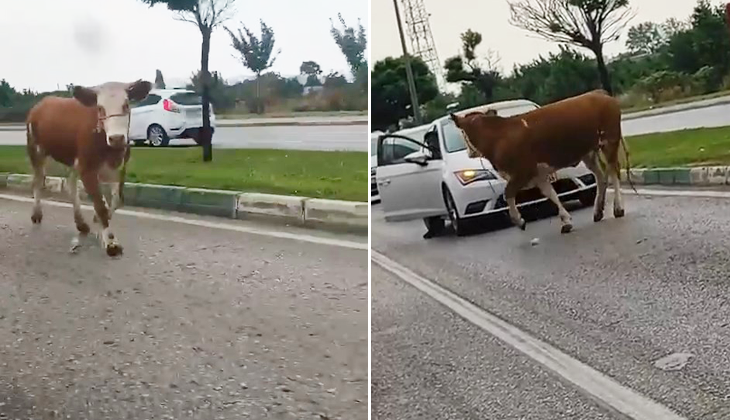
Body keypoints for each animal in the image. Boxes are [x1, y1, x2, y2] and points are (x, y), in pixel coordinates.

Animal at [26, 79, 152, 256]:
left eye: (126, 105)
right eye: (99, 108)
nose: (116, 138)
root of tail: (42, 102)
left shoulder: (119, 168)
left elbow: (116, 201)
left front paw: (99, 225)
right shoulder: (87, 169)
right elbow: (100, 206)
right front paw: (111, 242)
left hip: (72, 158)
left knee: (71, 185)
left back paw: (81, 223)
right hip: (36, 150)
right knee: (38, 181)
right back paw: (37, 214)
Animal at [446, 89, 628, 233]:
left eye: (463, 133)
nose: (469, 152)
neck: (498, 137)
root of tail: (598, 92)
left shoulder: (522, 172)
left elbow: (508, 193)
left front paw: (519, 221)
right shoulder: (537, 173)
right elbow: (550, 194)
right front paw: (566, 221)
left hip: (609, 141)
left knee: (613, 171)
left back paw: (618, 208)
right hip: (588, 152)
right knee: (600, 176)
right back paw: (598, 212)